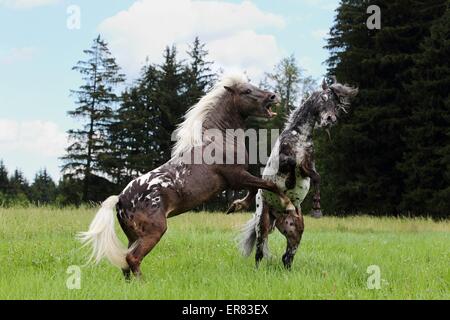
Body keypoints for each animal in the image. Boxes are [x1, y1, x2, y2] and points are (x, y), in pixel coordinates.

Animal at [79, 74, 298, 278]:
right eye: (246, 91)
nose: (273, 96)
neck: (220, 139)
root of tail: (120, 199)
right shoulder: (236, 177)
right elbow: (268, 185)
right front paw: (287, 205)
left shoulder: (237, 179)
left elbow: (256, 188)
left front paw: (235, 206)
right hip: (154, 231)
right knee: (133, 258)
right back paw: (143, 283)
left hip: (133, 236)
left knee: (125, 262)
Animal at [229, 79, 358, 268]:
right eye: (323, 98)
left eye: (336, 104)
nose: (330, 119)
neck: (300, 136)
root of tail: (278, 215)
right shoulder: (283, 162)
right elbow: (293, 163)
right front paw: (291, 182)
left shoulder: (309, 166)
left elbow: (316, 176)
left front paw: (317, 207)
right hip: (263, 224)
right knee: (259, 252)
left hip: (295, 231)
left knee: (287, 257)